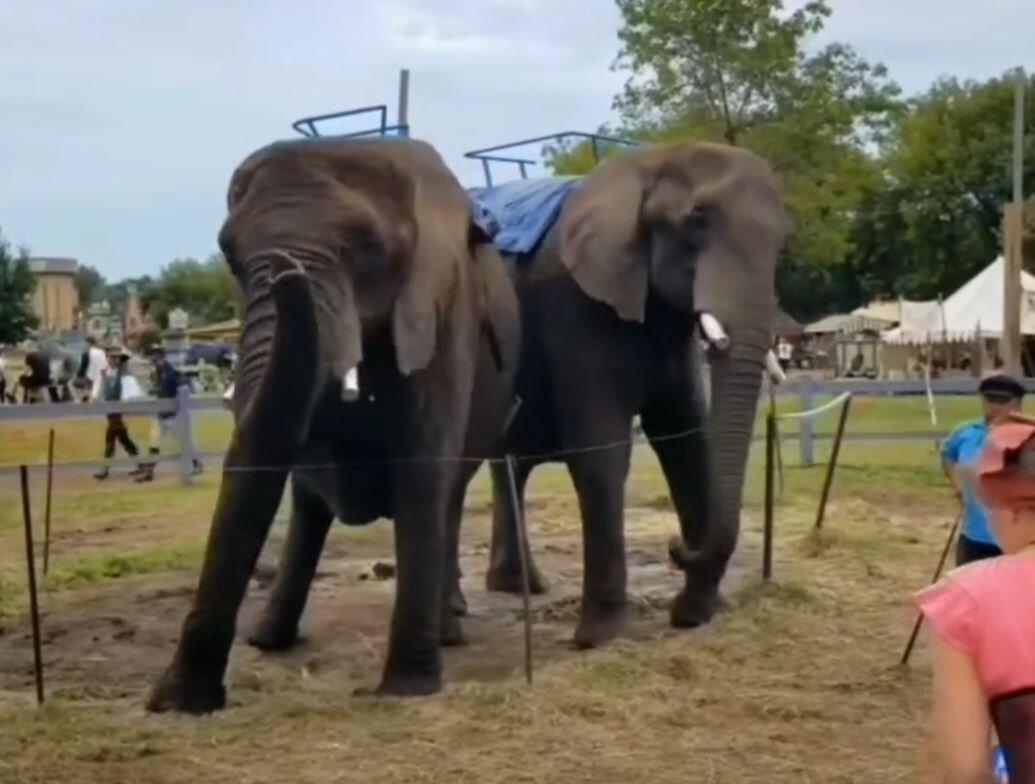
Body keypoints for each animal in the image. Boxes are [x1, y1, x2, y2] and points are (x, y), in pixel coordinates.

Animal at [148, 135, 517, 716]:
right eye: (230, 256)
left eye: (368, 250)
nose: (286, 274)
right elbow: (255, 462)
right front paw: (182, 701)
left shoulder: (443, 309)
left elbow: (422, 467)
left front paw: (406, 688)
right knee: (309, 504)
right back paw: (269, 637)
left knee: (448, 492)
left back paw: (448, 629)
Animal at [453, 140, 782, 650]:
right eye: (697, 222)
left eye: (784, 240)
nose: (676, 547)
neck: (647, 166)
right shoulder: (575, 306)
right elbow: (602, 452)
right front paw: (598, 638)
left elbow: (686, 441)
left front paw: (698, 615)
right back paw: (455, 616)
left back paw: (517, 587)